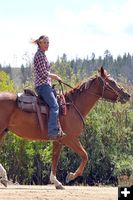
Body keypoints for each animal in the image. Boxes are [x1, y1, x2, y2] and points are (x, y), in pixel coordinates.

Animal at [0, 67, 130, 189]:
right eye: (112, 81)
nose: (127, 95)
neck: (72, 107)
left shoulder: (58, 140)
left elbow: (55, 159)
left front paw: (56, 182)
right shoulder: (70, 139)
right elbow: (85, 155)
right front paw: (71, 176)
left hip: (3, 132)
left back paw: (4, 178)